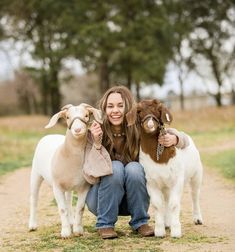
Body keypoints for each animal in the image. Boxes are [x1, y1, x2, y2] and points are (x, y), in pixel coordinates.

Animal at [28, 103, 102, 237]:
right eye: (67, 117)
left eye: (86, 115)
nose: (77, 130)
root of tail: (50, 135)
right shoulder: (57, 186)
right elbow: (62, 209)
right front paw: (66, 232)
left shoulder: (84, 186)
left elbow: (80, 208)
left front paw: (78, 230)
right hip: (35, 174)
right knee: (34, 199)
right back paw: (32, 225)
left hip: (68, 186)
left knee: (68, 201)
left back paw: (71, 221)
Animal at [126, 99, 203, 237]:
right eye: (139, 111)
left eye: (159, 110)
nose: (150, 125)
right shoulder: (151, 182)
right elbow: (158, 204)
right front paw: (159, 231)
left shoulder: (177, 180)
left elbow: (174, 204)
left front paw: (176, 231)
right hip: (165, 184)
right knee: (166, 200)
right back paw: (167, 223)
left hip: (197, 174)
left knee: (195, 195)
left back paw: (197, 219)